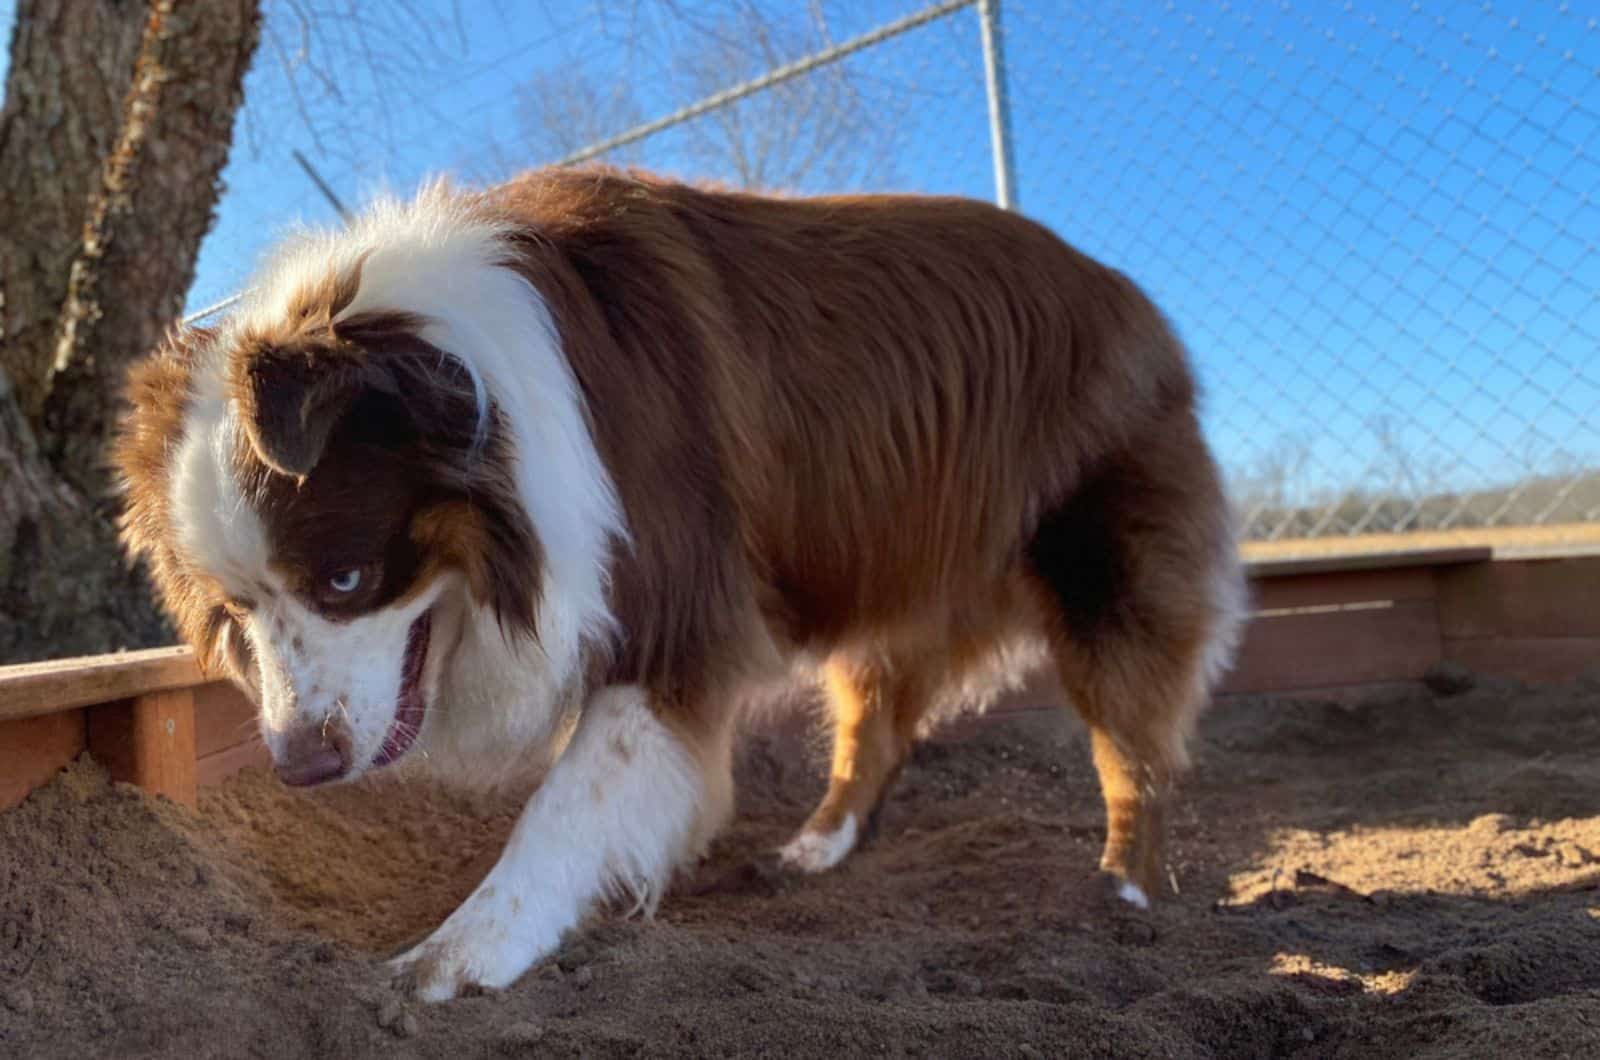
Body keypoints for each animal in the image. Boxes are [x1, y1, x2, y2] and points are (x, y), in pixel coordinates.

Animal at [112, 168, 1248, 1005]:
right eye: (236, 609)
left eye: (346, 576)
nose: (301, 767)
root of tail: (1131, 296)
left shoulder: (676, 598)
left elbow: (568, 801)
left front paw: (453, 954)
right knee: (878, 719)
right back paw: (813, 849)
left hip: (1106, 554)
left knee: (1133, 739)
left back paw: (1127, 890)